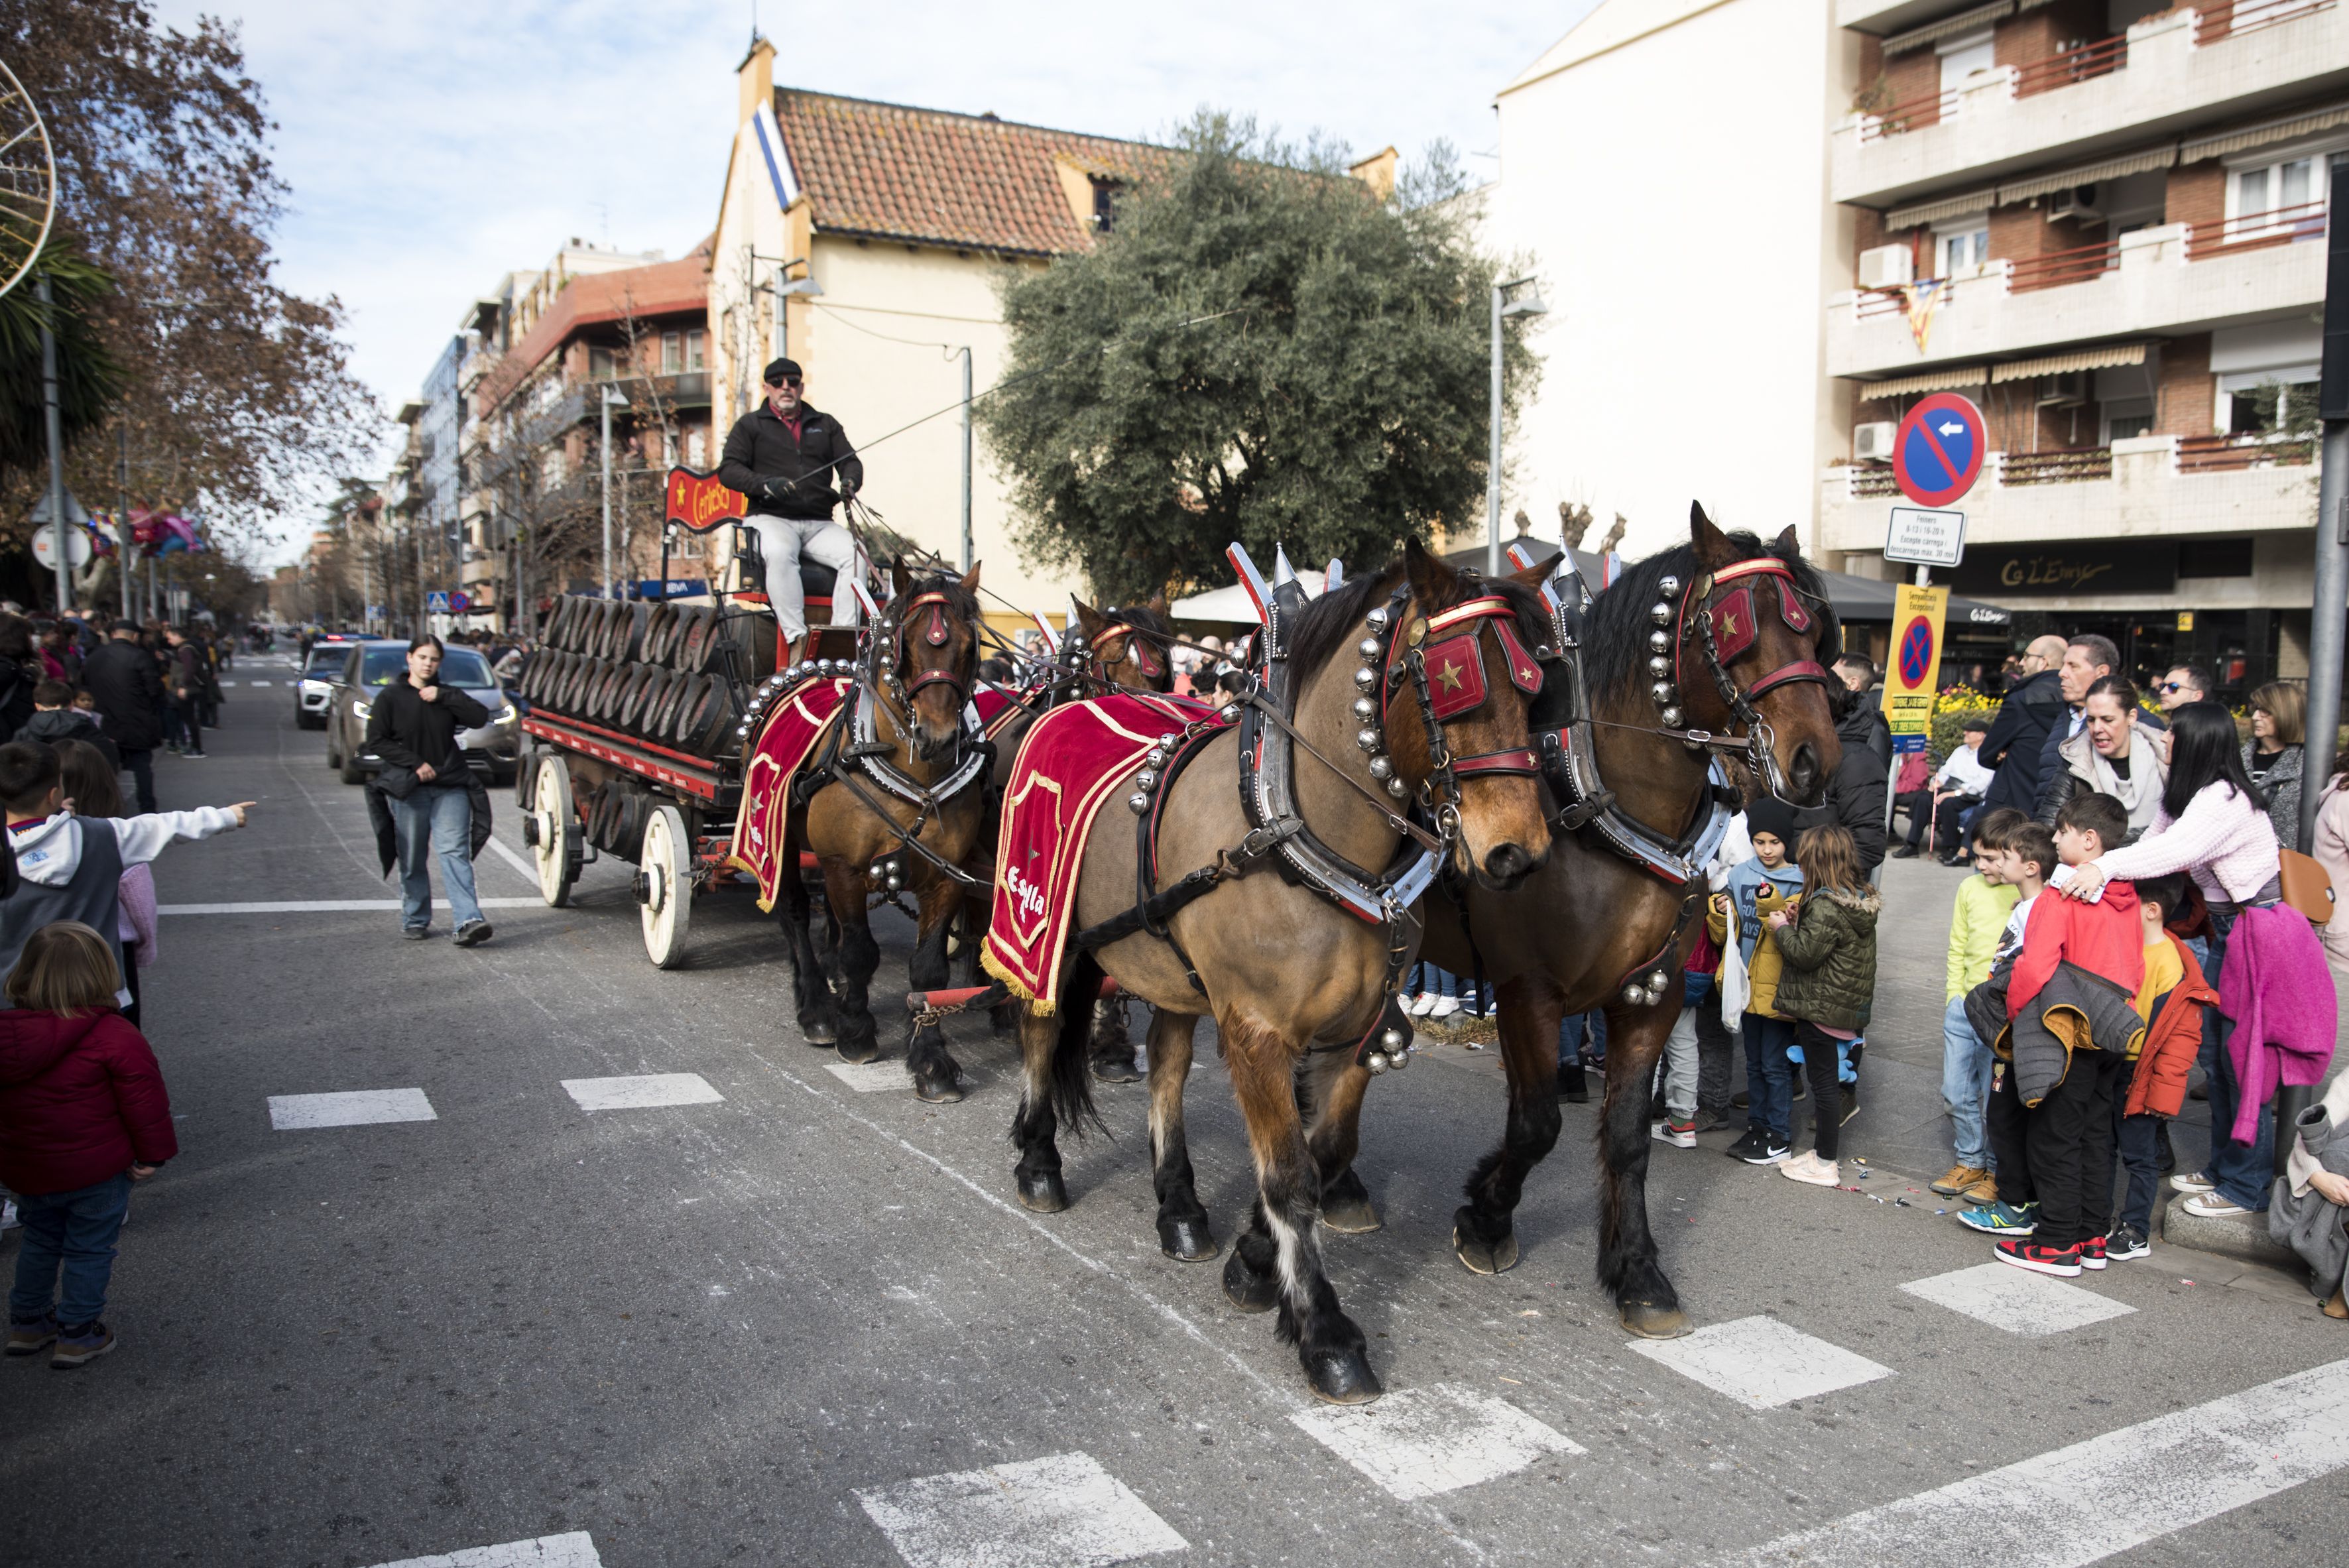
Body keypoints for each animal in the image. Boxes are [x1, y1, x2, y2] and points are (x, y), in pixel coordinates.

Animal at [780, 563, 981, 1103]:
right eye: (904, 644)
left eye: (969, 645)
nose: (938, 738)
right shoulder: (843, 867)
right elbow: (860, 952)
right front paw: (855, 1030)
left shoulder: (946, 877)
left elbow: (929, 969)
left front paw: (932, 1061)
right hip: (783, 846)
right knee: (794, 913)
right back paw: (816, 1007)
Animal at [996, 542, 1559, 1408]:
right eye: (1453, 680)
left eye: (1535, 683)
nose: (1517, 854)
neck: (1294, 828)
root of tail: (1073, 708)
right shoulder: (1258, 1033)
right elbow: (1290, 1175)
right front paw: (1323, 1330)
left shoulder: (1355, 1030)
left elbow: (1322, 1153)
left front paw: (1254, 1263)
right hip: (1045, 932)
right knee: (1039, 1026)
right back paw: (1038, 1161)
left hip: (1170, 969)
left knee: (1166, 1067)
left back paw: (1179, 1205)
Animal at [1400, 511, 1841, 1333]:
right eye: (1738, 625)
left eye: (1814, 627)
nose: (1813, 761)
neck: (1592, 797)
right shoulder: (1529, 990)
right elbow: (1537, 1123)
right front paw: (1486, 1218)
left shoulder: (1651, 992)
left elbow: (1632, 1135)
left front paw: (1636, 1269)